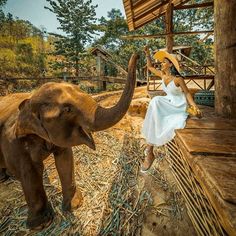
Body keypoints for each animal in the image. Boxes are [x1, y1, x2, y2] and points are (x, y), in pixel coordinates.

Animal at [0, 53, 138, 230]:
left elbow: (65, 158)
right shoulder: (14, 143)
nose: (138, 53)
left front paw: (75, 204)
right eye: (67, 110)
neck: (29, 102)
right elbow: (30, 172)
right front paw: (41, 225)